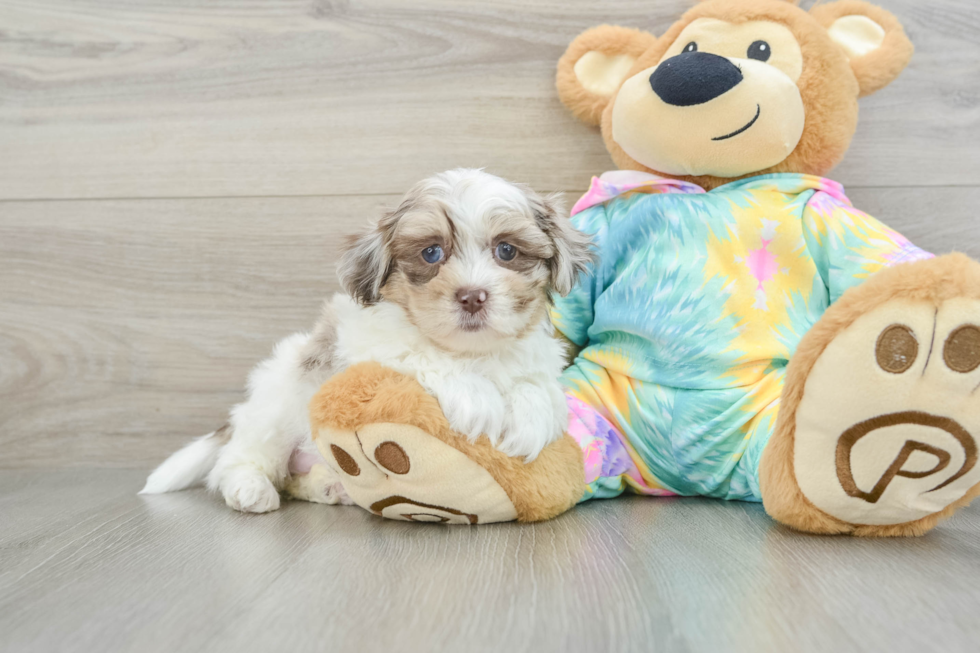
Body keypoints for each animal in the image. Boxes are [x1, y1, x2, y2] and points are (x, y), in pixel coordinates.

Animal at [142, 169, 592, 516]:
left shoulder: (533, 355)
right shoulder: (367, 341)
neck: (472, 351)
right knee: (240, 460)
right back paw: (250, 488)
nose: (472, 296)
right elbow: (422, 353)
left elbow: (536, 383)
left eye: (507, 251)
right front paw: (477, 397)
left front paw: (533, 415)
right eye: (431, 253)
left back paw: (330, 486)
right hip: (275, 409)